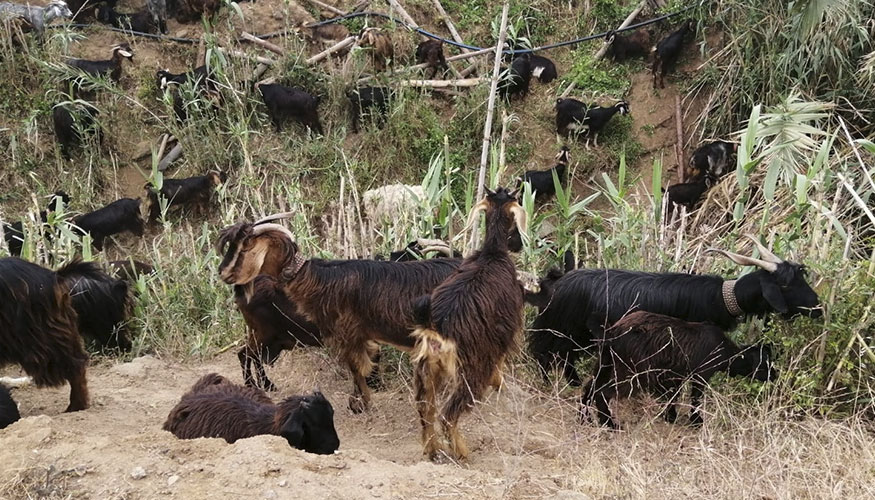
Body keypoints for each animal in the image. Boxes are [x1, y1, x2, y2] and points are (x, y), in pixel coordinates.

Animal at [216, 213, 462, 412]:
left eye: (244, 246)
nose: (223, 272)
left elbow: (367, 360)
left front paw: (371, 390)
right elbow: (359, 364)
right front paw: (362, 400)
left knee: (249, 355)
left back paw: (266, 385)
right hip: (263, 332)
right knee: (247, 355)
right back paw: (256, 386)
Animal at [414, 188, 532, 460]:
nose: (519, 244)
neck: (492, 254)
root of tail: (437, 330)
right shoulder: (504, 330)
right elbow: (501, 361)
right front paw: (499, 383)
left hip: (426, 371)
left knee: (426, 410)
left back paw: (433, 450)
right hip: (470, 370)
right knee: (448, 415)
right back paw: (462, 451)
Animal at [584, 310, 776, 428]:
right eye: (765, 363)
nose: (775, 375)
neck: (724, 350)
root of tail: (613, 331)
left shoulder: (675, 376)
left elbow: (673, 397)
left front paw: (670, 417)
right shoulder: (700, 375)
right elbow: (695, 398)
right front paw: (696, 422)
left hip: (606, 364)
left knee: (589, 388)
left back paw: (585, 419)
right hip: (633, 373)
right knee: (603, 392)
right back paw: (610, 425)